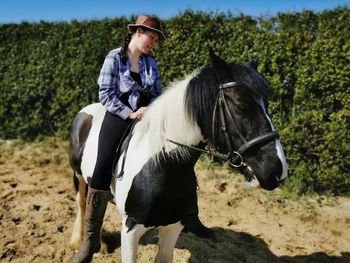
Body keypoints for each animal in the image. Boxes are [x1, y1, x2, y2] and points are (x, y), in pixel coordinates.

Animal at [67, 50, 288, 262]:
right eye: (241, 106)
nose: (278, 171)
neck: (163, 166)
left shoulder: (173, 226)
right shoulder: (131, 229)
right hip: (79, 174)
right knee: (84, 201)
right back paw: (79, 242)